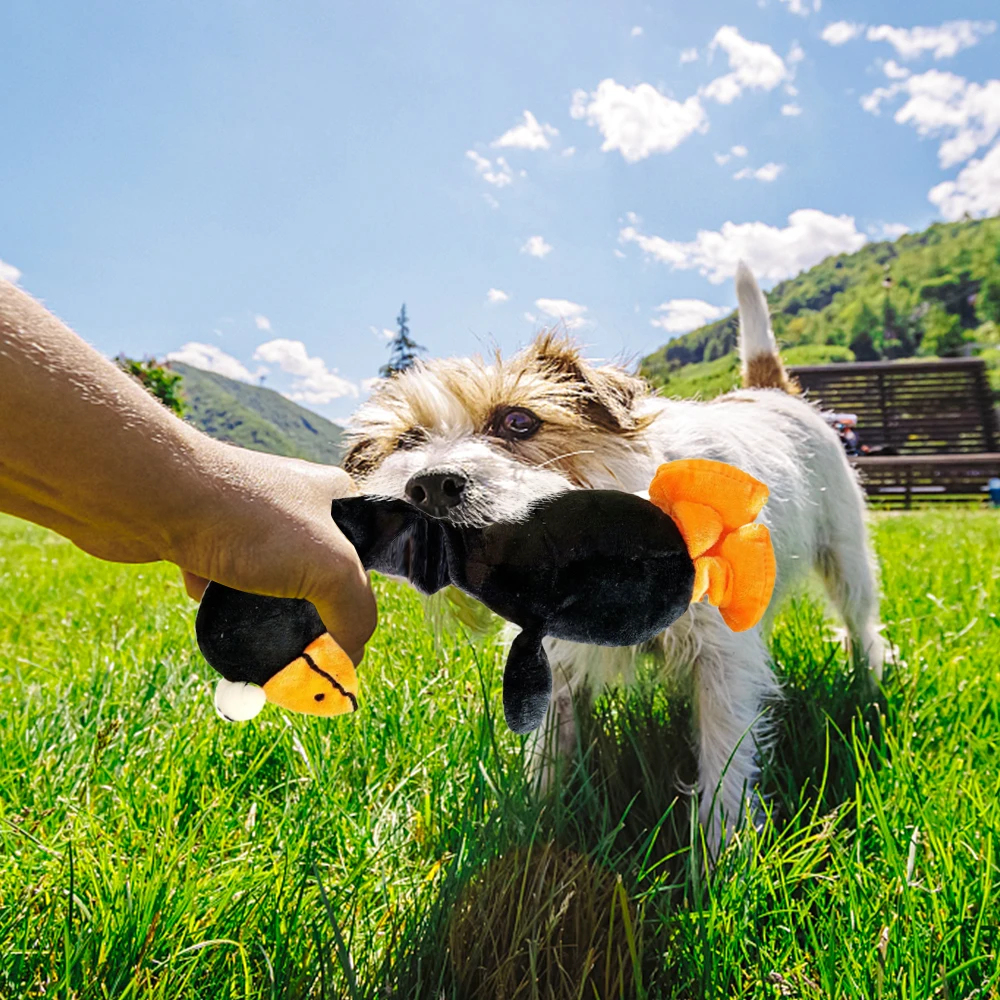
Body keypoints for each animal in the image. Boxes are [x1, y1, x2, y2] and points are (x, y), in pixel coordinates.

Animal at [342, 262, 884, 848]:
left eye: (518, 421)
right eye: (406, 441)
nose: (428, 486)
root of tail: (767, 391)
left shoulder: (723, 659)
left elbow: (724, 755)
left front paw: (721, 849)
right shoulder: (552, 656)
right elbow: (548, 750)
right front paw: (536, 822)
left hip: (848, 556)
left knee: (861, 622)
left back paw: (870, 681)